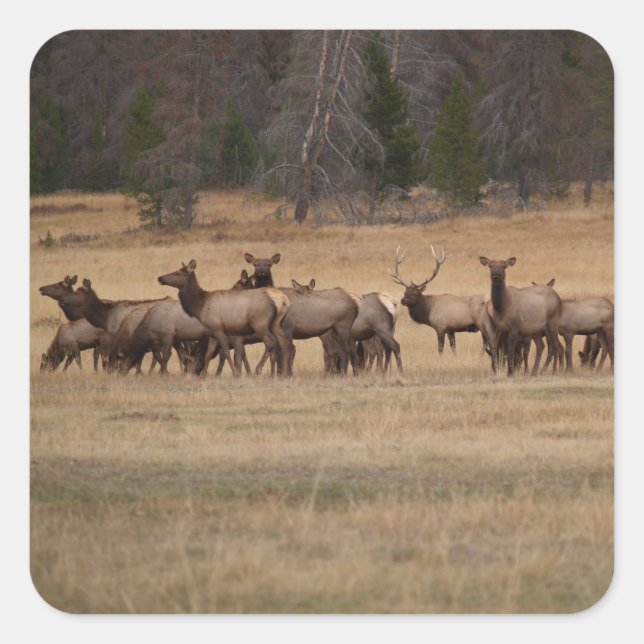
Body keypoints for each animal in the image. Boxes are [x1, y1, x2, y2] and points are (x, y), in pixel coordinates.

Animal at [157, 260, 291, 377]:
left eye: (177, 273)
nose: (160, 278)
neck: (200, 305)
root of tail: (282, 300)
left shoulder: (218, 327)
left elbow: (226, 352)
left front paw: (235, 374)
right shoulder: (211, 331)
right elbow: (208, 354)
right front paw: (203, 376)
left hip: (260, 323)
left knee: (270, 342)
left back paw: (258, 370)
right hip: (276, 324)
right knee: (284, 343)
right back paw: (283, 374)